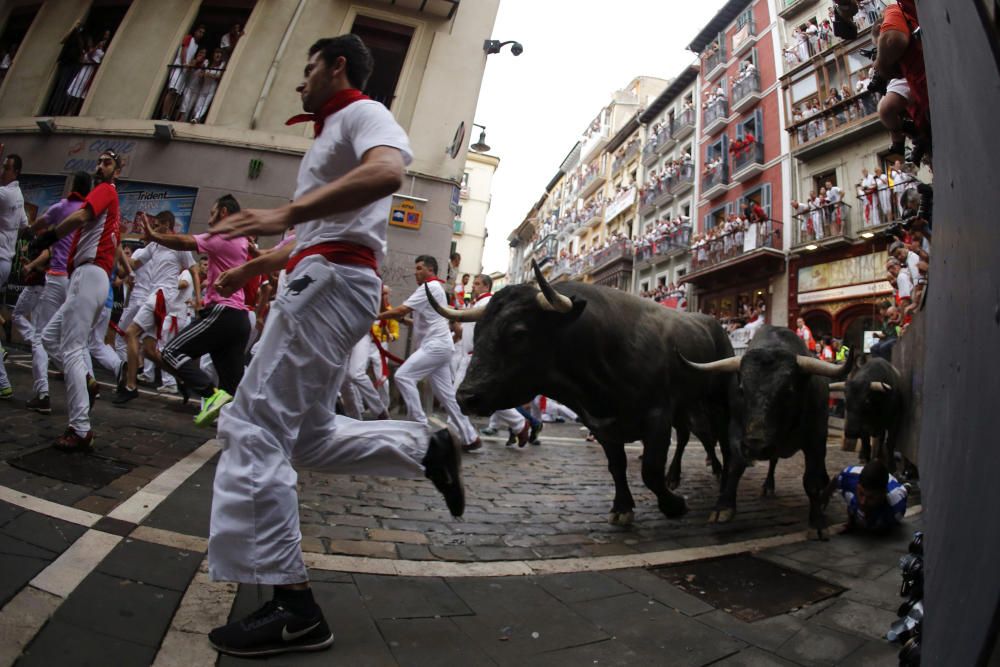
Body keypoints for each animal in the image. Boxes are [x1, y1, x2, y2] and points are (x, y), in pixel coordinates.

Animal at [422, 270, 736, 528]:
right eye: (479, 332)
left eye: (518, 333)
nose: (466, 396)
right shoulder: (603, 424)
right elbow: (617, 467)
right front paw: (622, 508)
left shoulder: (657, 416)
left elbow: (650, 470)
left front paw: (674, 505)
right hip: (686, 405)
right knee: (686, 436)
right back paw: (679, 475)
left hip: (717, 399)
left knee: (717, 437)